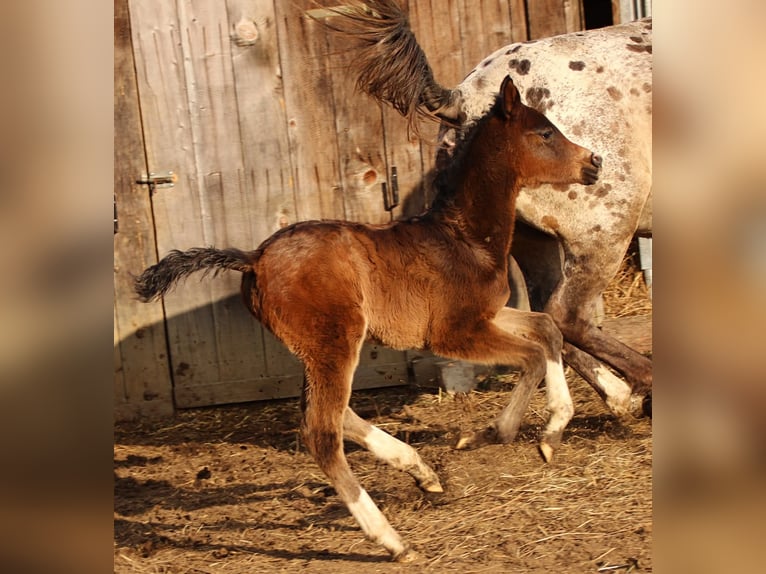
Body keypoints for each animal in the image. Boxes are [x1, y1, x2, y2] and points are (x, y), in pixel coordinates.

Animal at [134, 76, 601, 561]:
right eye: (544, 133)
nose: (594, 162)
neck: (465, 238)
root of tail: (253, 258)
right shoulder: (454, 332)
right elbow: (531, 355)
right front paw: (509, 432)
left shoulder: (487, 315)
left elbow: (546, 330)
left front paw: (539, 433)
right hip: (335, 342)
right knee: (321, 429)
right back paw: (391, 539)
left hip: (320, 348)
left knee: (331, 413)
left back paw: (421, 472)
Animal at [323, 0, 652, 417]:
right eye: (545, 133)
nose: (592, 162)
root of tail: (465, 97)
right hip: (604, 231)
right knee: (567, 313)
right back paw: (641, 386)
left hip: (534, 238)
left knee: (549, 314)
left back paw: (620, 395)